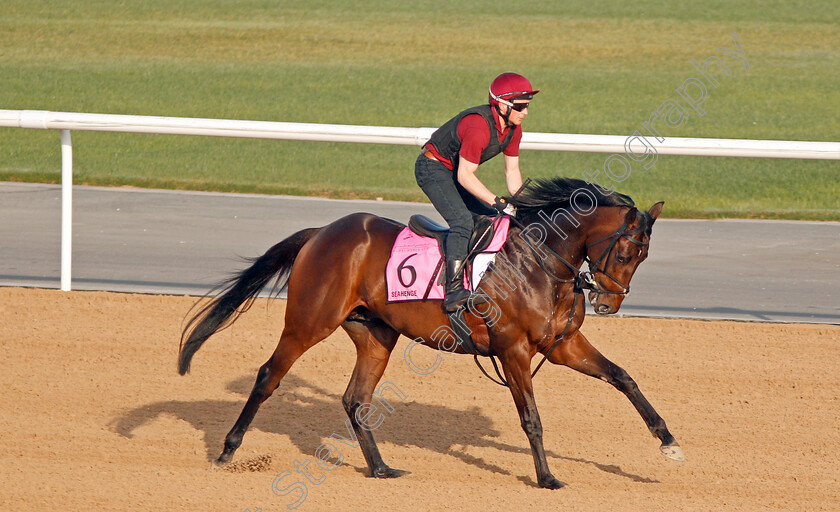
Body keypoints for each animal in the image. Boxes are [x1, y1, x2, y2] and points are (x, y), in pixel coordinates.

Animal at [177, 178, 684, 490]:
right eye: (626, 252)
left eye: (642, 256)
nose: (609, 303)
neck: (542, 263)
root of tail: (322, 231)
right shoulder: (514, 350)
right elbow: (532, 419)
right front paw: (547, 478)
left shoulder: (562, 346)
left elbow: (623, 377)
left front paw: (668, 441)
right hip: (308, 322)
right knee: (269, 375)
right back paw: (227, 451)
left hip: (376, 335)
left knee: (355, 398)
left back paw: (381, 468)